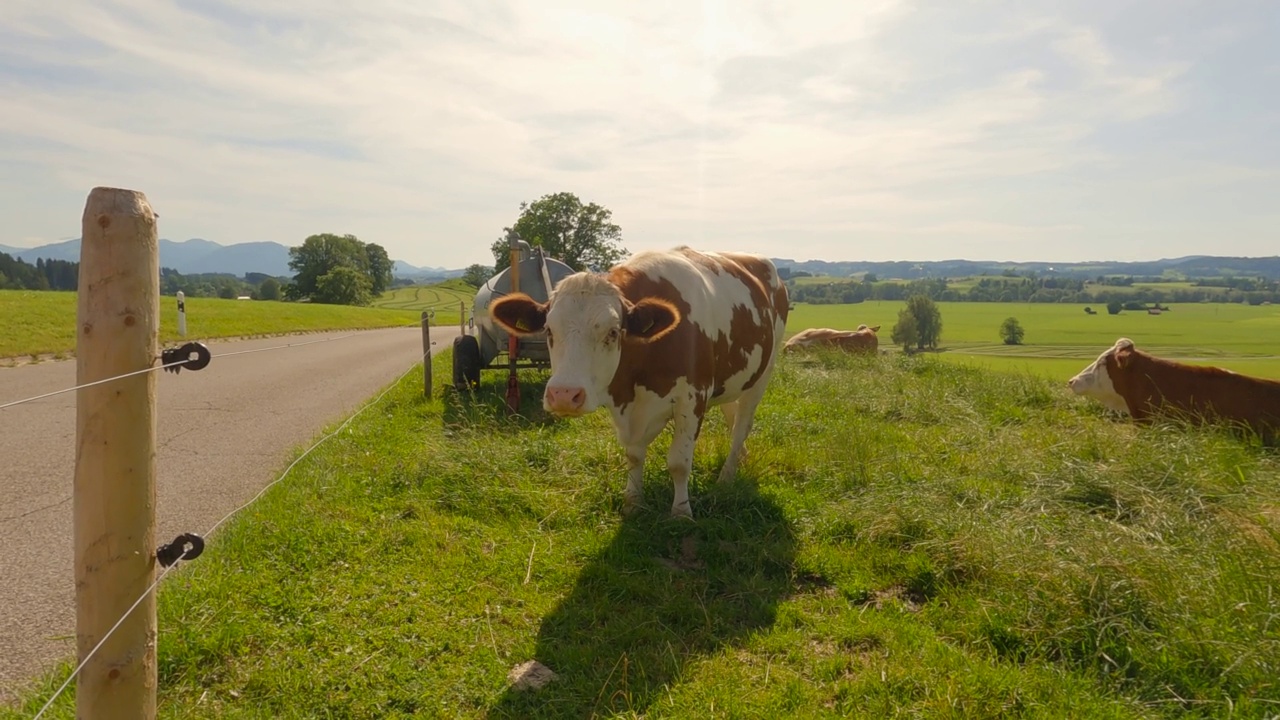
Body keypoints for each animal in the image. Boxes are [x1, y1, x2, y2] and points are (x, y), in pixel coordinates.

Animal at [488, 245, 788, 515]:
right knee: (731, 413)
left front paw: (681, 512)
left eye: (612, 332)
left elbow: (679, 462)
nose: (563, 395)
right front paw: (633, 502)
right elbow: (633, 455)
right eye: (549, 330)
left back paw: (727, 476)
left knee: (741, 425)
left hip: (762, 374)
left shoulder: (692, 399)